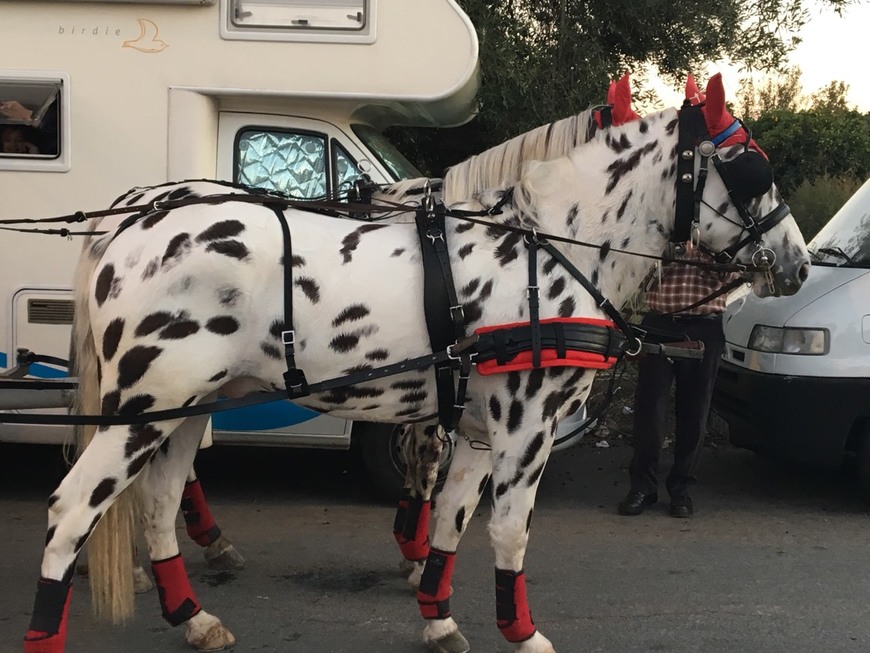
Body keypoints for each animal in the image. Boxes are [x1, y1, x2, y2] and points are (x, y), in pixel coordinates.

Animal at [20, 74, 812, 648]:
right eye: (751, 167)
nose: (797, 261)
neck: (548, 249)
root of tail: (131, 221)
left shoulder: (477, 428)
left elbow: (450, 520)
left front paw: (437, 614)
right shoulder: (526, 427)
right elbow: (508, 529)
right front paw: (520, 633)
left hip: (188, 409)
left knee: (158, 502)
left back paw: (195, 618)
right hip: (140, 413)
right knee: (72, 508)